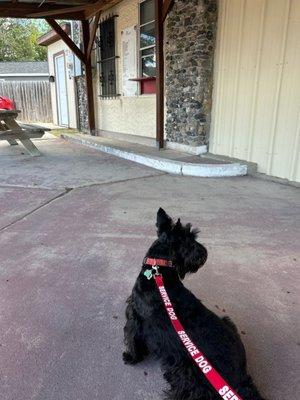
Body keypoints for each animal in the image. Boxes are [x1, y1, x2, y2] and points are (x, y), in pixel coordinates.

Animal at [123, 209, 266, 400]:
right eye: (188, 239)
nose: (204, 253)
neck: (158, 270)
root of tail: (240, 378)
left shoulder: (136, 319)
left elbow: (133, 339)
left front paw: (131, 357)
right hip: (227, 321)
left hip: (187, 371)